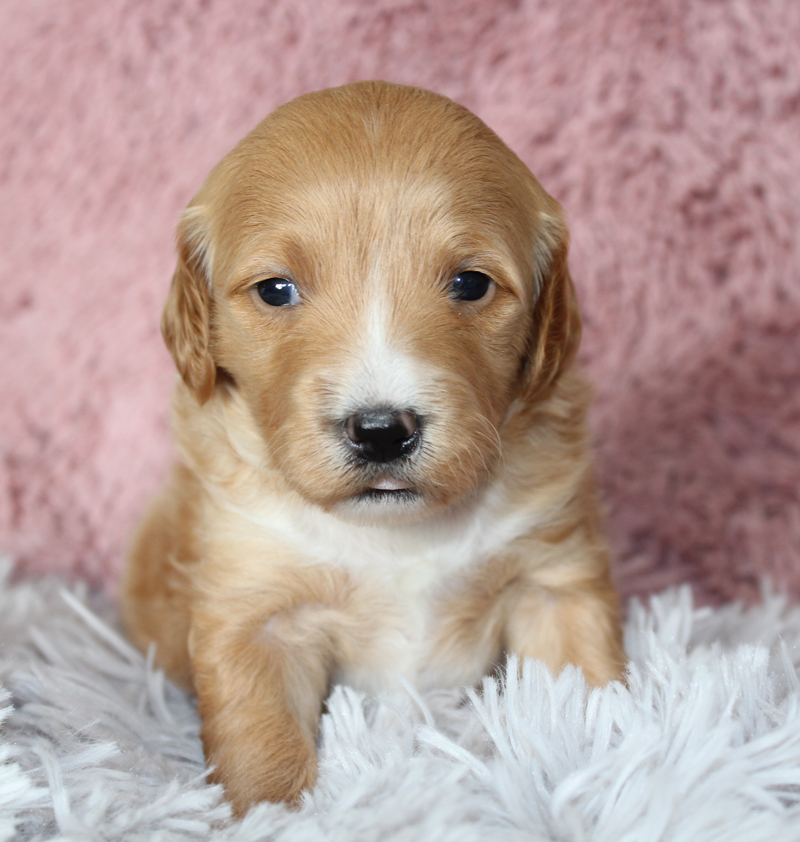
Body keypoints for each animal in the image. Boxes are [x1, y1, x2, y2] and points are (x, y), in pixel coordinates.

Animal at [123, 80, 624, 812]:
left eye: (471, 283)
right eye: (276, 289)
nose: (383, 430)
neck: (396, 532)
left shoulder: (552, 578)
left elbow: (586, 694)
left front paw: (610, 774)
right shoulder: (255, 610)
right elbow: (261, 745)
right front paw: (274, 817)